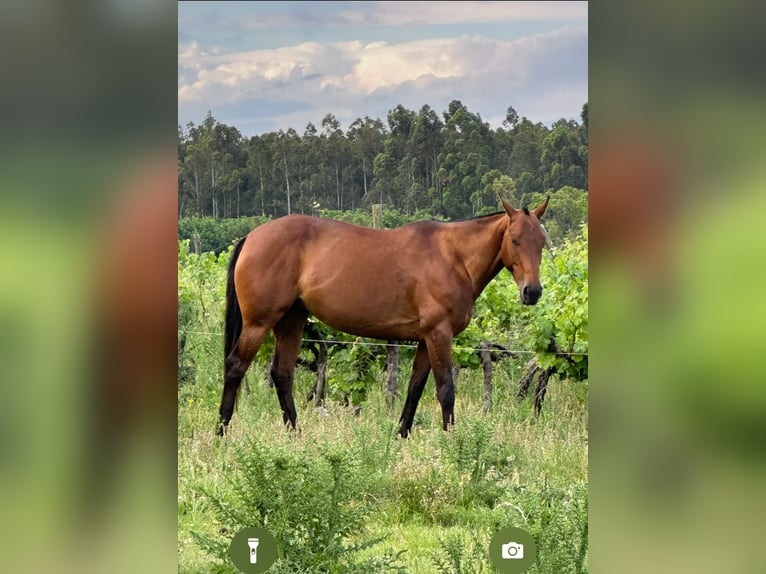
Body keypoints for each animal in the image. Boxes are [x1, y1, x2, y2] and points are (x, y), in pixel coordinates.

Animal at [218, 196, 549, 438]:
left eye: (542, 243)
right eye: (515, 240)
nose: (532, 291)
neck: (452, 257)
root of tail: (252, 236)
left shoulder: (424, 339)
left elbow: (415, 388)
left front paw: (401, 435)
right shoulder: (439, 334)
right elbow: (445, 390)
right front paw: (453, 442)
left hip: (291, 321)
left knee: (282, 374)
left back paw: (295, 434)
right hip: (259, 323)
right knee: (236, 367)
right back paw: (222, 432)